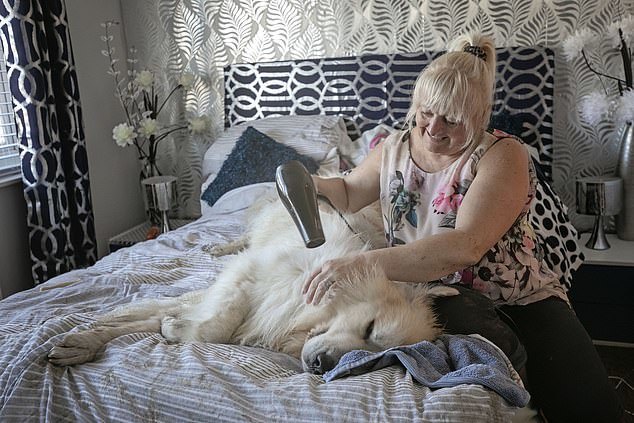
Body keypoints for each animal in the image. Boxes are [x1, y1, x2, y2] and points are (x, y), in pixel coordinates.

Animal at [49, 197, 454, 372]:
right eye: (369, 328)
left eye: (378, 357)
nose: (321, 365)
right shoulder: (249, 277)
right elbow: (211, 323)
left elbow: (159, 317)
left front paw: (89, 340)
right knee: (242, 240)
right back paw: (219, 246)